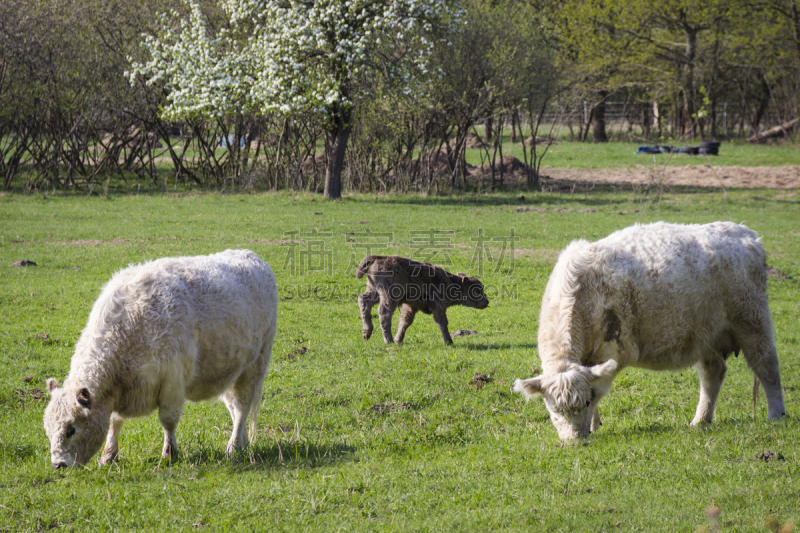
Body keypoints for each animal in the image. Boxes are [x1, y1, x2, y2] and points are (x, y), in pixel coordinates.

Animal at [42, 249, 278, 466]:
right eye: (48, 429)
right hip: (230, 372)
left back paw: (233, 446)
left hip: (255, 367)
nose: (58, 464)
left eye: (71, 429)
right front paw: (109, 456)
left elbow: (168, 421)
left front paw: (169, 454)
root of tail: (251, 256)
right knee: (235, 409)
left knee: (242, 407)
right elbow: (114, 422)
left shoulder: (172, 383)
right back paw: (243, 442)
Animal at [516, 221, 784, 440]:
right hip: (707, 334)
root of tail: (745, 234)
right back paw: (701, 420)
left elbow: (599, 388)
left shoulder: (610, 353)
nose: (573, 440)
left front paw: (592, 424)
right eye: (553, 409)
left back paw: (776, 414)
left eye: (585, 401)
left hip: (752, 320)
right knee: (713, 374)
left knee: (766, 366)